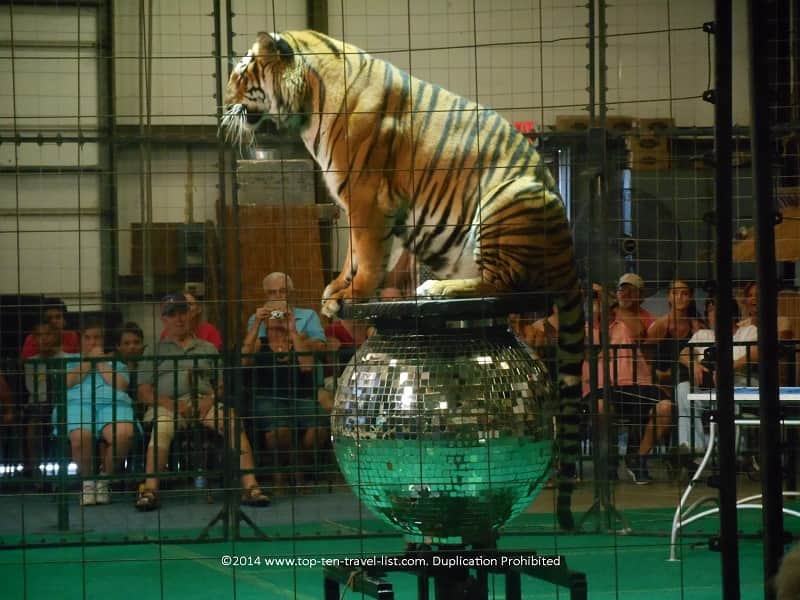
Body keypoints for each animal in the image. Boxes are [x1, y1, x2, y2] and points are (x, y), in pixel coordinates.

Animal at [221, 30, 585, 531]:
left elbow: (368, 254)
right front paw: (338, 292)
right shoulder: (370, 206)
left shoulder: (367, 195)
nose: (223, 105)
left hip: (505, 201)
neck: (311, 100)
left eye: (241, 75)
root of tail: (569, 255)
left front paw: (353, 294)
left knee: (506, 284)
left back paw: (440, 289)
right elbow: (358, 256)